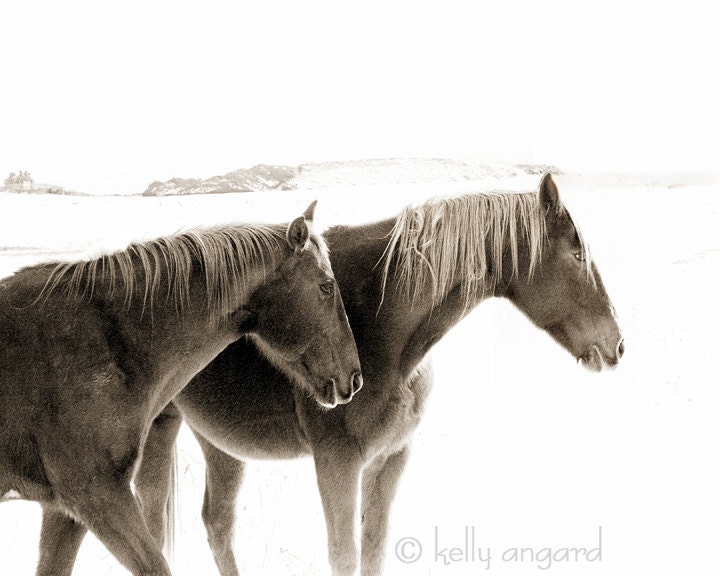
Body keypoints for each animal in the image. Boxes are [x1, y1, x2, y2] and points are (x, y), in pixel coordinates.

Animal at [47, 173, 623, 575]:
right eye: (576, 253)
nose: (616, 346)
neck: (383, 329)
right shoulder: (338, 463)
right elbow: (343, 553)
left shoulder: (392, 458)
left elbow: (373, 551)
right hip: (164, 429)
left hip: (216, 442)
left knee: (216, 523)